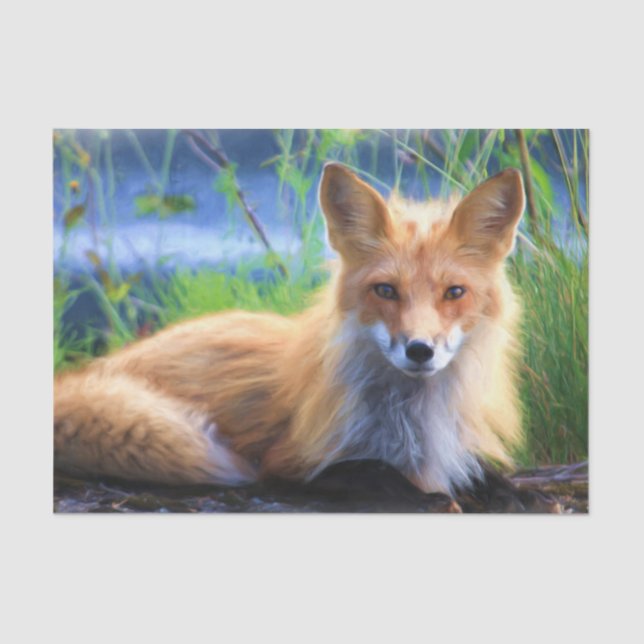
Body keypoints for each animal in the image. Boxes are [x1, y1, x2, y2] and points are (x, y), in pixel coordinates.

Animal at [54, 163, 526, 498]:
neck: (414, 422)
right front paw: (431, 496)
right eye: (386, 290)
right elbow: (379, 473)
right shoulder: (290, 463)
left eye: (454, 292)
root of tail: (90, 371)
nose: (419, 350)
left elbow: (490, 478)